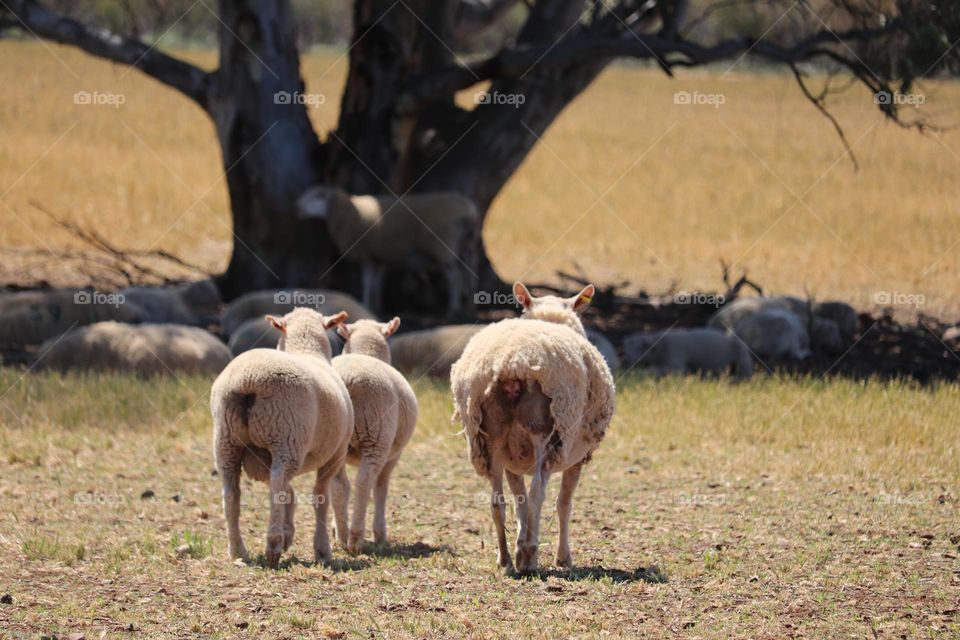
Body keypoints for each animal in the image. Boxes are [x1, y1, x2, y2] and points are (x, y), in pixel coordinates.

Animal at [210, 308, 354, 567]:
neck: (306, 349)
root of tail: (246, 381)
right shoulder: (334, 455)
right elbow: (320, 496)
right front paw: (322, 549)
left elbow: (292, 493)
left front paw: (290, 533)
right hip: (286, 437)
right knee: (277, 484)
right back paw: (273, 544)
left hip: (227, 440)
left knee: (231, 494)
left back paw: (238, 550)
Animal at [296, 186, 480, 315]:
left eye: (315, 196)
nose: (296, 206)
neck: (348, 212)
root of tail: (470, 209)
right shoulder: (377, 256)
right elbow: (377, 282)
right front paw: (376, 305)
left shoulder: (366, 254)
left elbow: (368, 282)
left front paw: (365, 303)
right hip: (467, 246)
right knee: (469, 274)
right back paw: (469, 304)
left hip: (442, 247)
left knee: (454, 277)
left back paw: (454, 307)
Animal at [326, 317, 418, 552]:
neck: (366, 351)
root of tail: (347, 379)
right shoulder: (393, 455)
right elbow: (381, 489)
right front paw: (380, 534)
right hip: (377, 438)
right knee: (363, 482)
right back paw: (356, 538)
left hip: (337, 440)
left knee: (338, 484)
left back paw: (342, 535)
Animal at [450, 282, 615, 574]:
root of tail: (510, 363)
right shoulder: (577, 457)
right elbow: (563, 503)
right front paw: (562, 557)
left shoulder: (512, 462)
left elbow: (520, 502)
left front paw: (518, 546)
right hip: (544, 430)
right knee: (539, 492)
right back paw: (530, 557)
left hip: (490, 436)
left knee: (497, 501)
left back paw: (505, 560)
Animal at [622, 328, 753, 378]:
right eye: (626, 347)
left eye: (641, 347)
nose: (628, 360)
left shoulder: (676, 363)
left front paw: (642, 373)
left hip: (742, 357)